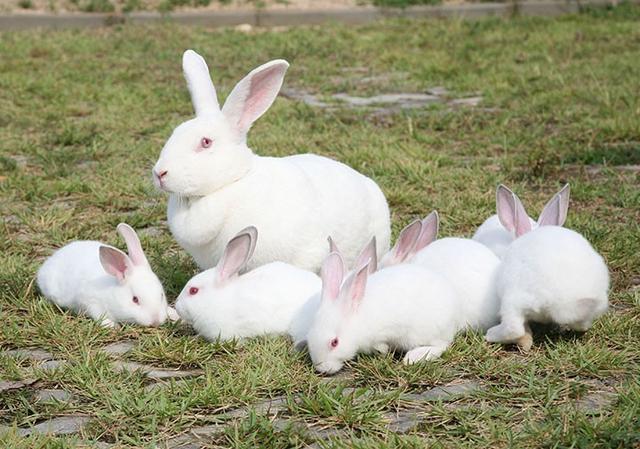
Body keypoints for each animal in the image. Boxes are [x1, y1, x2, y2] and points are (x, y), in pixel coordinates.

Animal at [36, 223, 176, 326]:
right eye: (135, 299)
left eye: (161, 295)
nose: (156, 321)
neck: (113, 290)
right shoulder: (90, 301)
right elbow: (98, 315)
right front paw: (112, 325)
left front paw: (174, 314)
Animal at [306, 250, 460, 372]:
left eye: (335, 342)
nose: (321, 368)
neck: (357, 322)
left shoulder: (381, 334)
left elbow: (381, 345)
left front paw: (384, 351)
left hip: (426, 332)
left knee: (442, 346)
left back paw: (414, 357)